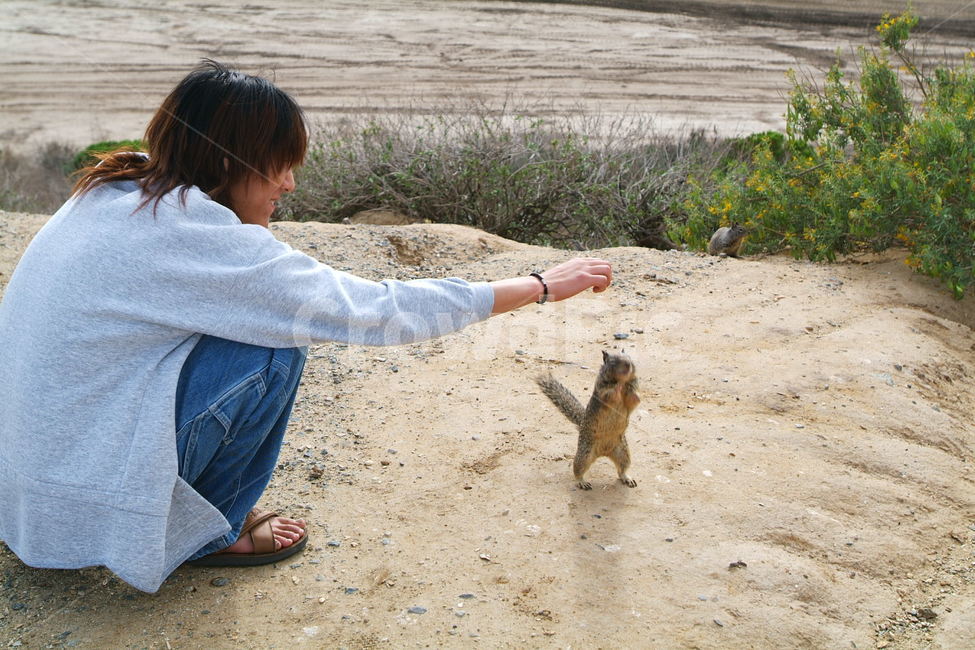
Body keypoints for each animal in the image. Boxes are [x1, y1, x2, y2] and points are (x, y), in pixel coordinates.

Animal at [535, 351, 640, 490]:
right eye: (613, 361)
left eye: (629, 357)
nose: (628, 365)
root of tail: (604, 452)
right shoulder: (602, 392)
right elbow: (610, 395)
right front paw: (617, 388)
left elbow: (633, 400)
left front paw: (631, 391)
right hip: (584, 455)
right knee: (577, 470)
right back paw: (582, 482)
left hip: (623, 452)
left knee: (621, 469)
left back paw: (627, 478)